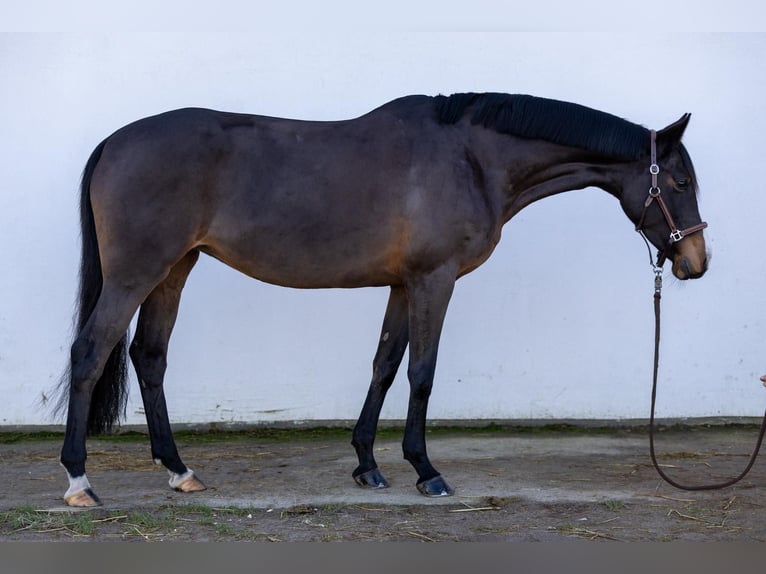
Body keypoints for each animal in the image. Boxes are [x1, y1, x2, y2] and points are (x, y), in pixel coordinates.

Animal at [54, 92, 708, 506]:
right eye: (679, 181)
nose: (695, 263)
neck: (471, 159)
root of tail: (114, 142)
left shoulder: (402, 283)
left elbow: (385, 364)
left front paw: (367, 465)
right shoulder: (434, 280)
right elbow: (421, 372)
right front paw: (426, 470)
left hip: (174, 269)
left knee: (149, 357)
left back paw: (179, 471)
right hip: (136, 274)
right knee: (89, 354)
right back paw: (79, 481)